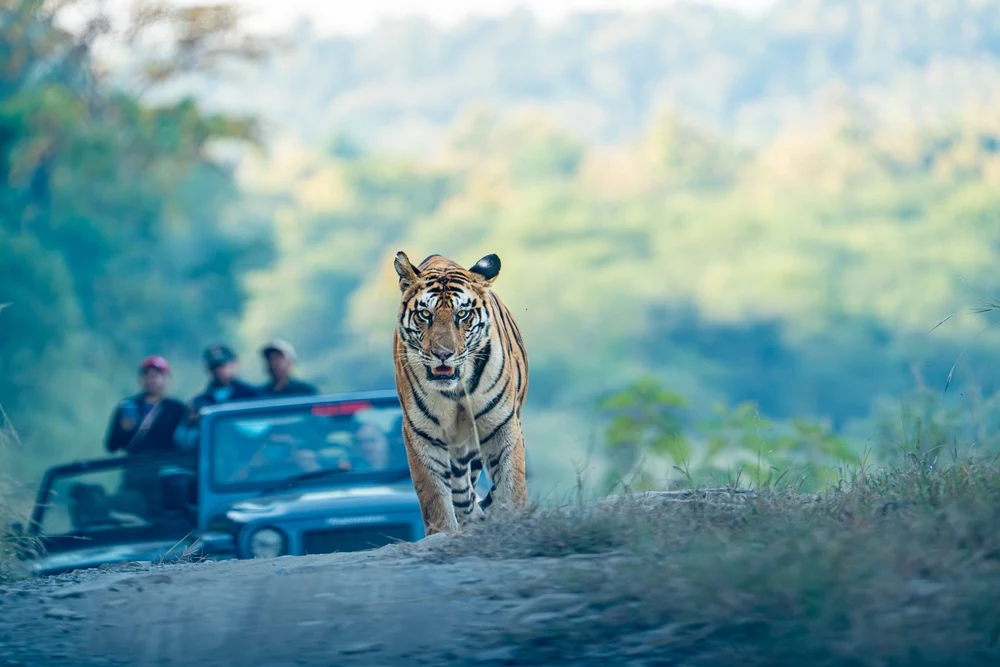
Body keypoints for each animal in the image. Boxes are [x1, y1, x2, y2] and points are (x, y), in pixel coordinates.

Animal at [392, 250, 529, 536]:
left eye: (462, 314)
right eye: (425, 313)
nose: (443, 354)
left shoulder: (501, 423)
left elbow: (512, 480)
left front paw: (515, 516)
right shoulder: (421, 432)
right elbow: (435, 497)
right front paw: (443, 533)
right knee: (461, 494)